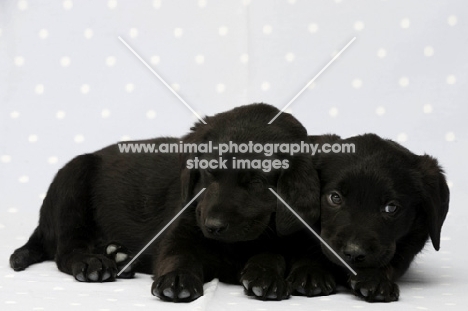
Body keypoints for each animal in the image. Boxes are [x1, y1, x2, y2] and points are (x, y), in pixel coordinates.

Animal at [10, 104, 318, 302]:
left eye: (256, 181)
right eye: (208, 171)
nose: (213, 226)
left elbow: (272, 254)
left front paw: (266, 276)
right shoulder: (182, 228)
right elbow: (178, 255)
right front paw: (178, 279)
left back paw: (118, 256)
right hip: (72, 179)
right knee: (65, 251)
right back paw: (93, 263)